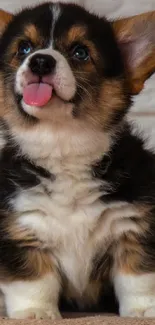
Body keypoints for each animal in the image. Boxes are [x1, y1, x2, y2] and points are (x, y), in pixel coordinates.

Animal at [0, 3, 155, 318]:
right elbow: (33, 282)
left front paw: (143, 312)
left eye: (81, 52)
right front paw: (35, 314)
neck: (63, 146)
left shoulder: (133, 228)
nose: (41, 62)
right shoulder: (22, 229)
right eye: (24, 48)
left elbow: (138, 278)